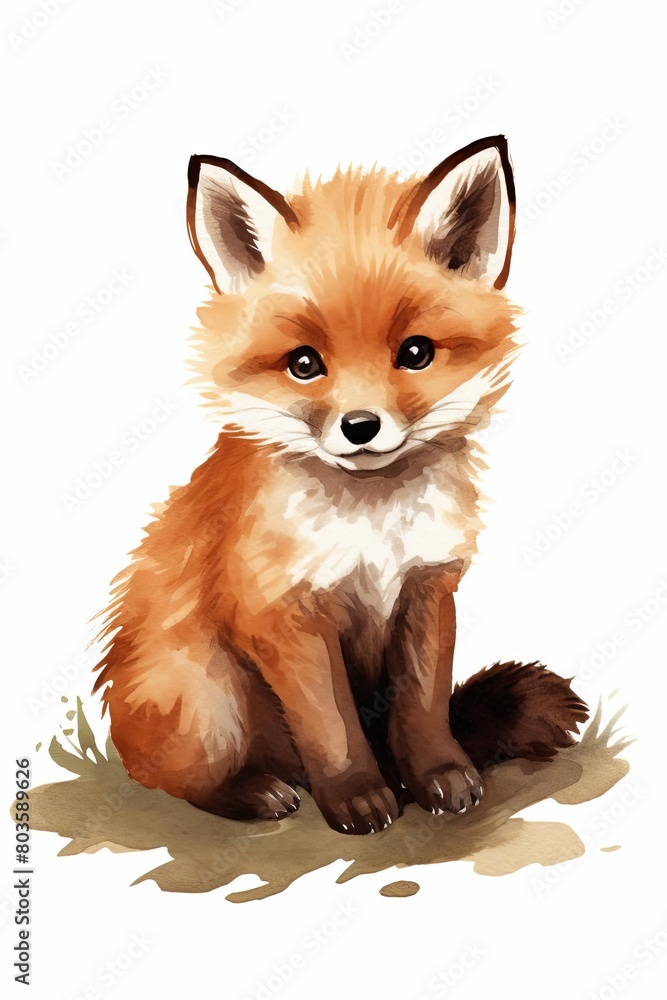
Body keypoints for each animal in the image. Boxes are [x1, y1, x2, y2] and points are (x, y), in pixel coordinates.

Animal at [93, 135, 588, 835]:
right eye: (304, 364)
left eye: (415, 353)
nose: (360, 426)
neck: (373, 530)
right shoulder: (284, 614)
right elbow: (331, 728)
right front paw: (358, 797)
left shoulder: (427, 591)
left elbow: (424, 710)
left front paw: (440, 777)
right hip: (208, 699)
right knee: (176, 780)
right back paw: (255, 792)